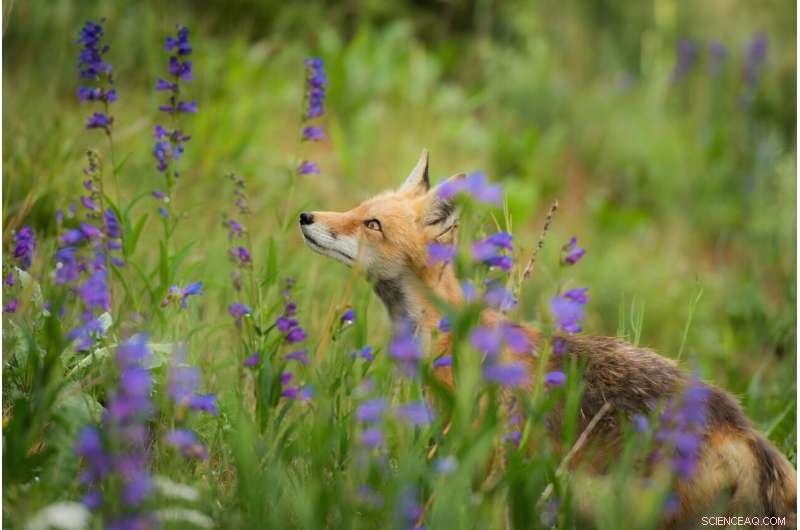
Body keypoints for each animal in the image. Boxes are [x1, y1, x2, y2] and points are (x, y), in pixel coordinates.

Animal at [299, 149, 797, 529]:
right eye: (357, 210)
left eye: (372, 225)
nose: (305, 215)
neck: (446, 334)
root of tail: (742, 425)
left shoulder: (473, 451)